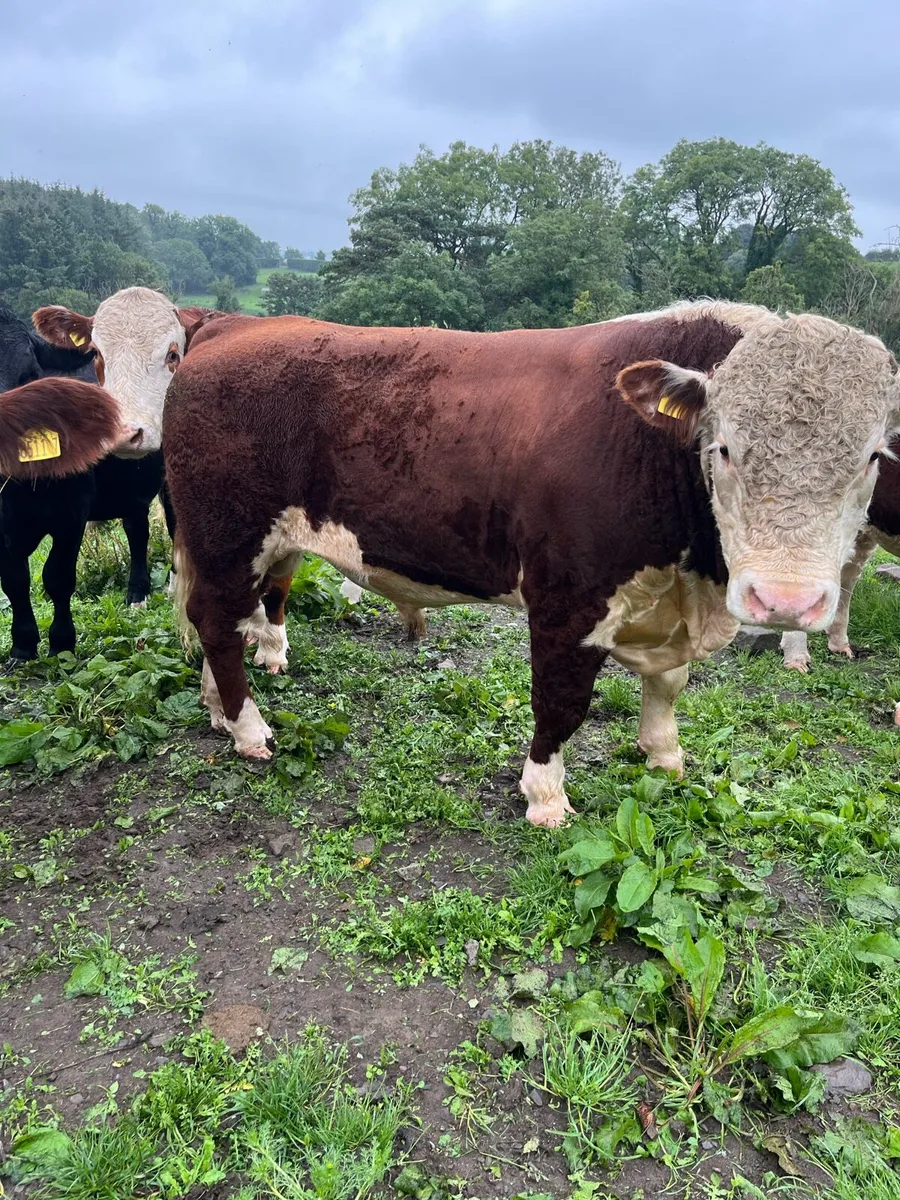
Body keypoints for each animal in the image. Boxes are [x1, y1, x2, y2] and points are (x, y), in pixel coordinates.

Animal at [0, 304, 169, 663]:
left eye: (29, 374)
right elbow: (14, 580)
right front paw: (23, 645)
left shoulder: (71, 514)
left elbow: (58, 577)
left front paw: (62, 643)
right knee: (137, 530)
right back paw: (136, 593)